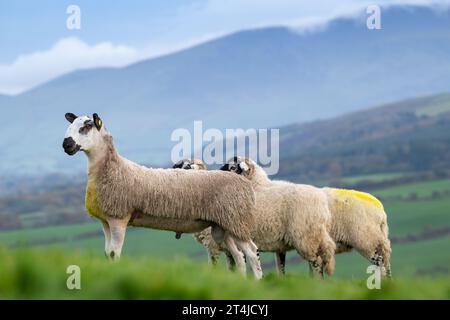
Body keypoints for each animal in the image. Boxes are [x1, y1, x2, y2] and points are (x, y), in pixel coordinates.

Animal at [61, 114, 262, 278]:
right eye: (71, 125)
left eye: (87, 126)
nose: (66, 145)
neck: (112, 169)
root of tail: (245, 183)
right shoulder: (105, 221)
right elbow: (106, 254)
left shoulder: (119, 218)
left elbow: (113, 254)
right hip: (224, 226)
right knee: (238, 256)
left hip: (237, 221)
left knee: (252, 253)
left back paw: (256, 282)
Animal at [225, 156, 394, 276]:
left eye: (232, 167)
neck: (258, 187)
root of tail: (380, 209)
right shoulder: (278, 246)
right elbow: (280, 270)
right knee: (386, 263)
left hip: (361, 239)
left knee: (378, 263)